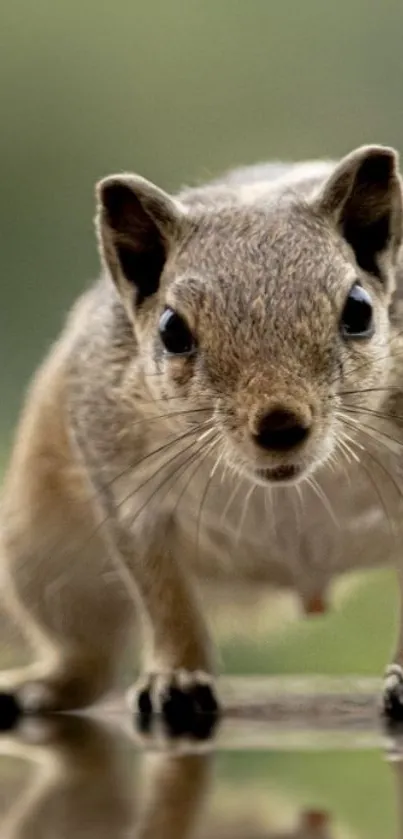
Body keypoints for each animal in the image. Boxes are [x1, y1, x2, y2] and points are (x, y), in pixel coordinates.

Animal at [0, 144, 403, 728]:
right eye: (172, 329)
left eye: (359, 310)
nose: (280, 425)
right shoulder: (126, 491)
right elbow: (163, 597)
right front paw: (177, 677)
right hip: (44, 558)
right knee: (86, 660)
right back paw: (39, 687)